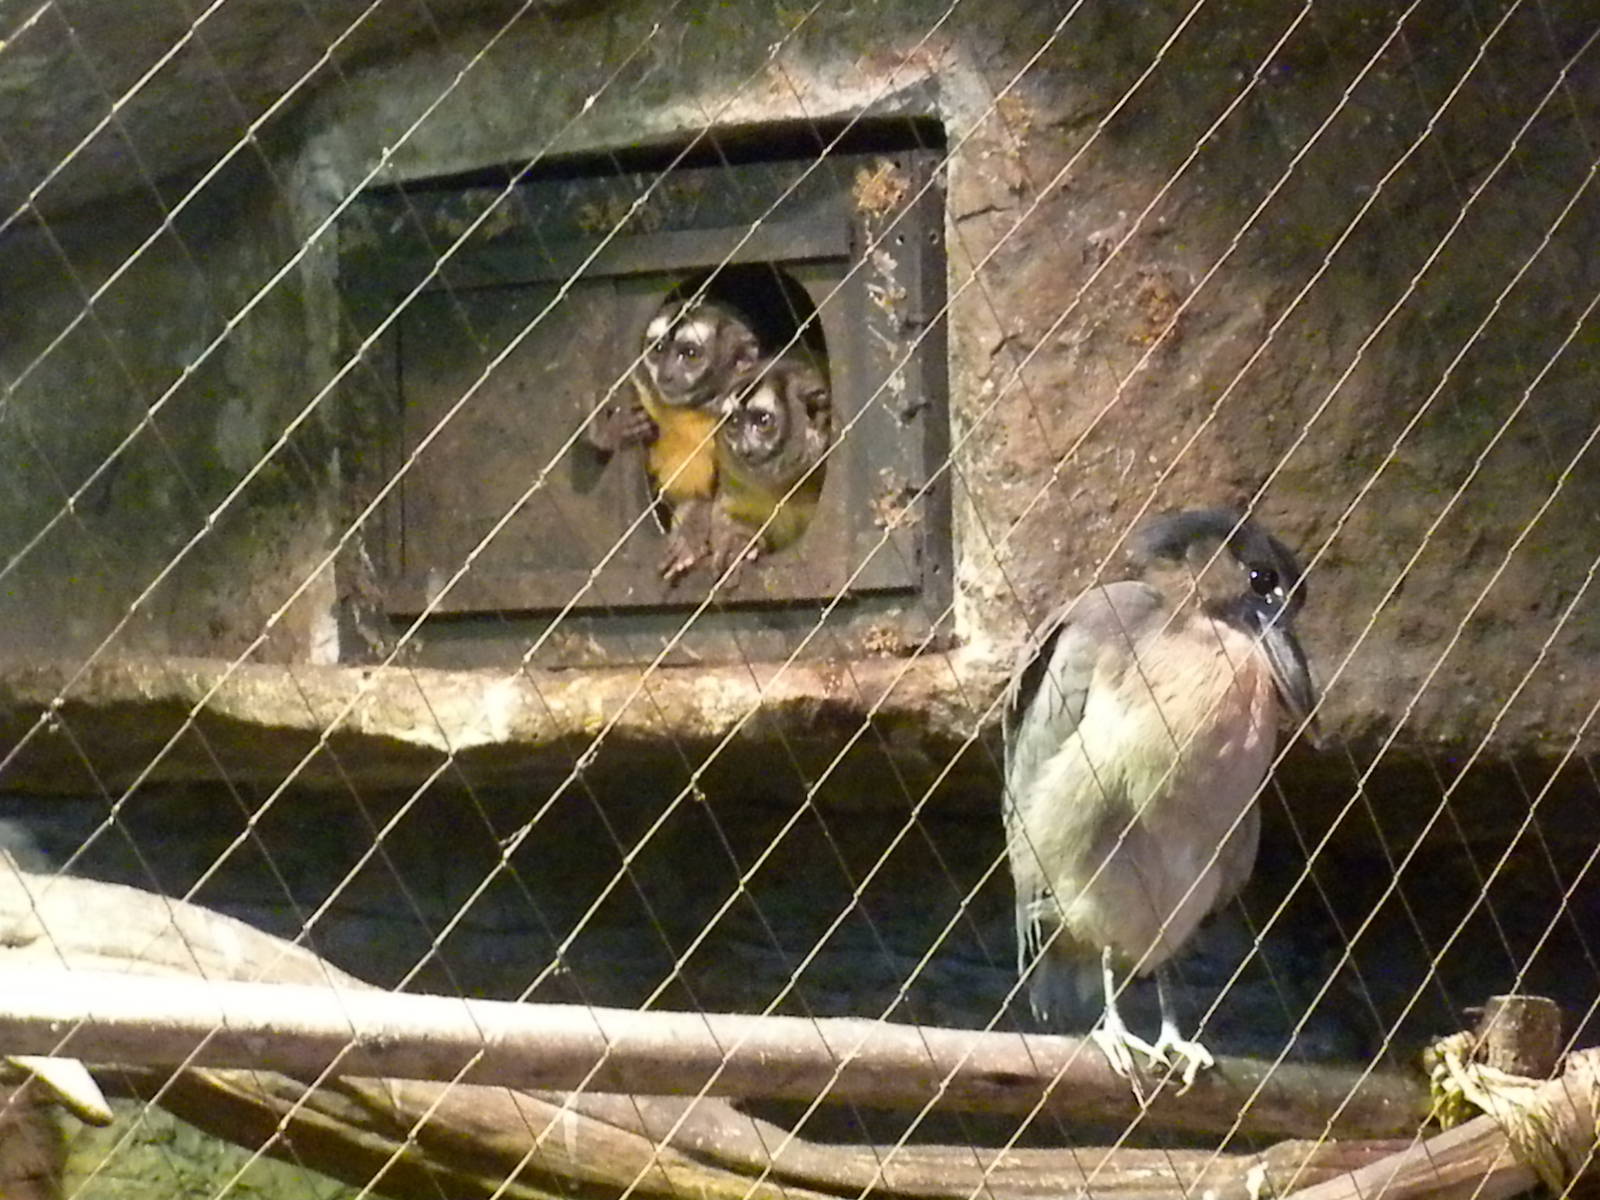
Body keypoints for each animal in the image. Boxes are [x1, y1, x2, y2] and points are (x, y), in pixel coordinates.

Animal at [586, 297, 762, 581]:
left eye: (690, 354)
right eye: (657, 349)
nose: (666, 375)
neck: (693, 411)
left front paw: (705, 534)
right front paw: (613, 426)